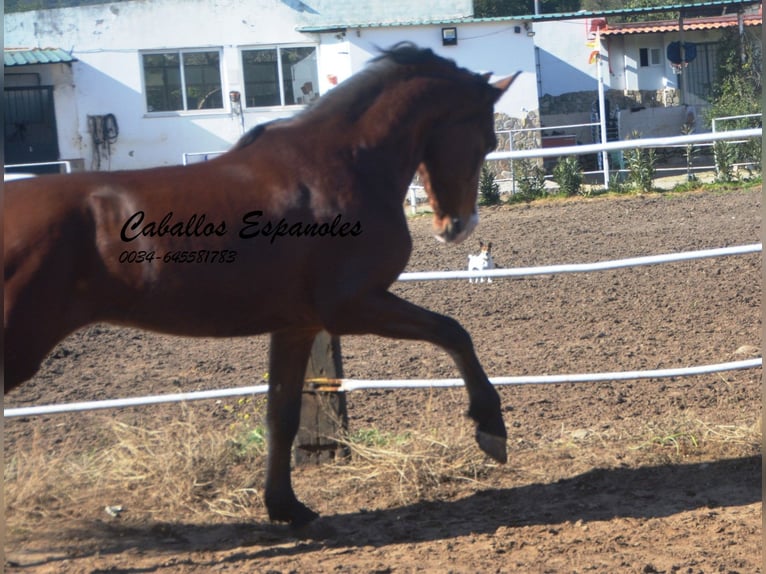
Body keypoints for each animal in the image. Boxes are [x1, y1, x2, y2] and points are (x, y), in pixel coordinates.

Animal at [3, 44, 520, 532]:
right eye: (488, 139)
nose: (458, 226)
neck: (340, 166)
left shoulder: (297, 326)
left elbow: (281, 416)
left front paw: (286, 506)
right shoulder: (352, 306)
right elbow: (454, 331)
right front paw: (490, 428)